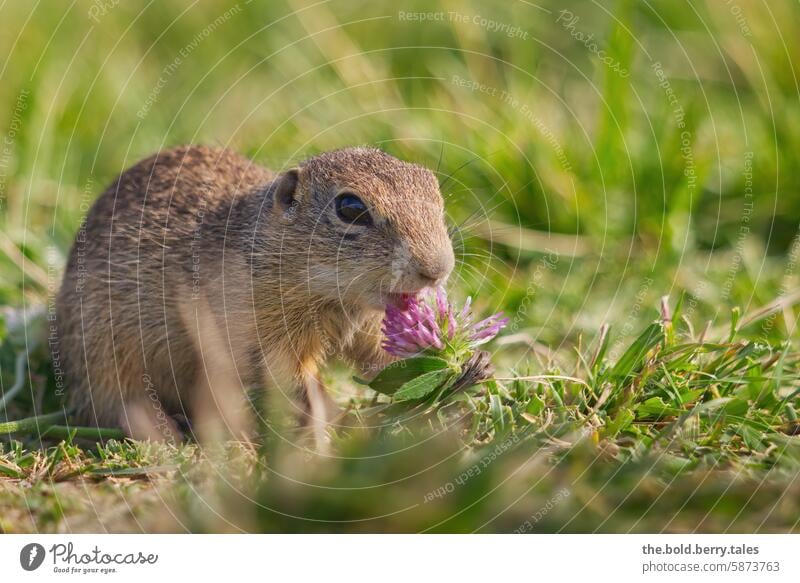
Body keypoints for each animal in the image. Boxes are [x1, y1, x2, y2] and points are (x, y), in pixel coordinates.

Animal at [54, 145, 456, 442]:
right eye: (350, 208)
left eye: (433, 188)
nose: (437, 269)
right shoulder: (262, 335)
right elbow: (293, 379)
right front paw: (337, 419)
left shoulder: (368, 328)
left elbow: (381, 364)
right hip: (103, 352)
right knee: (117, 402)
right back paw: (168, 433)